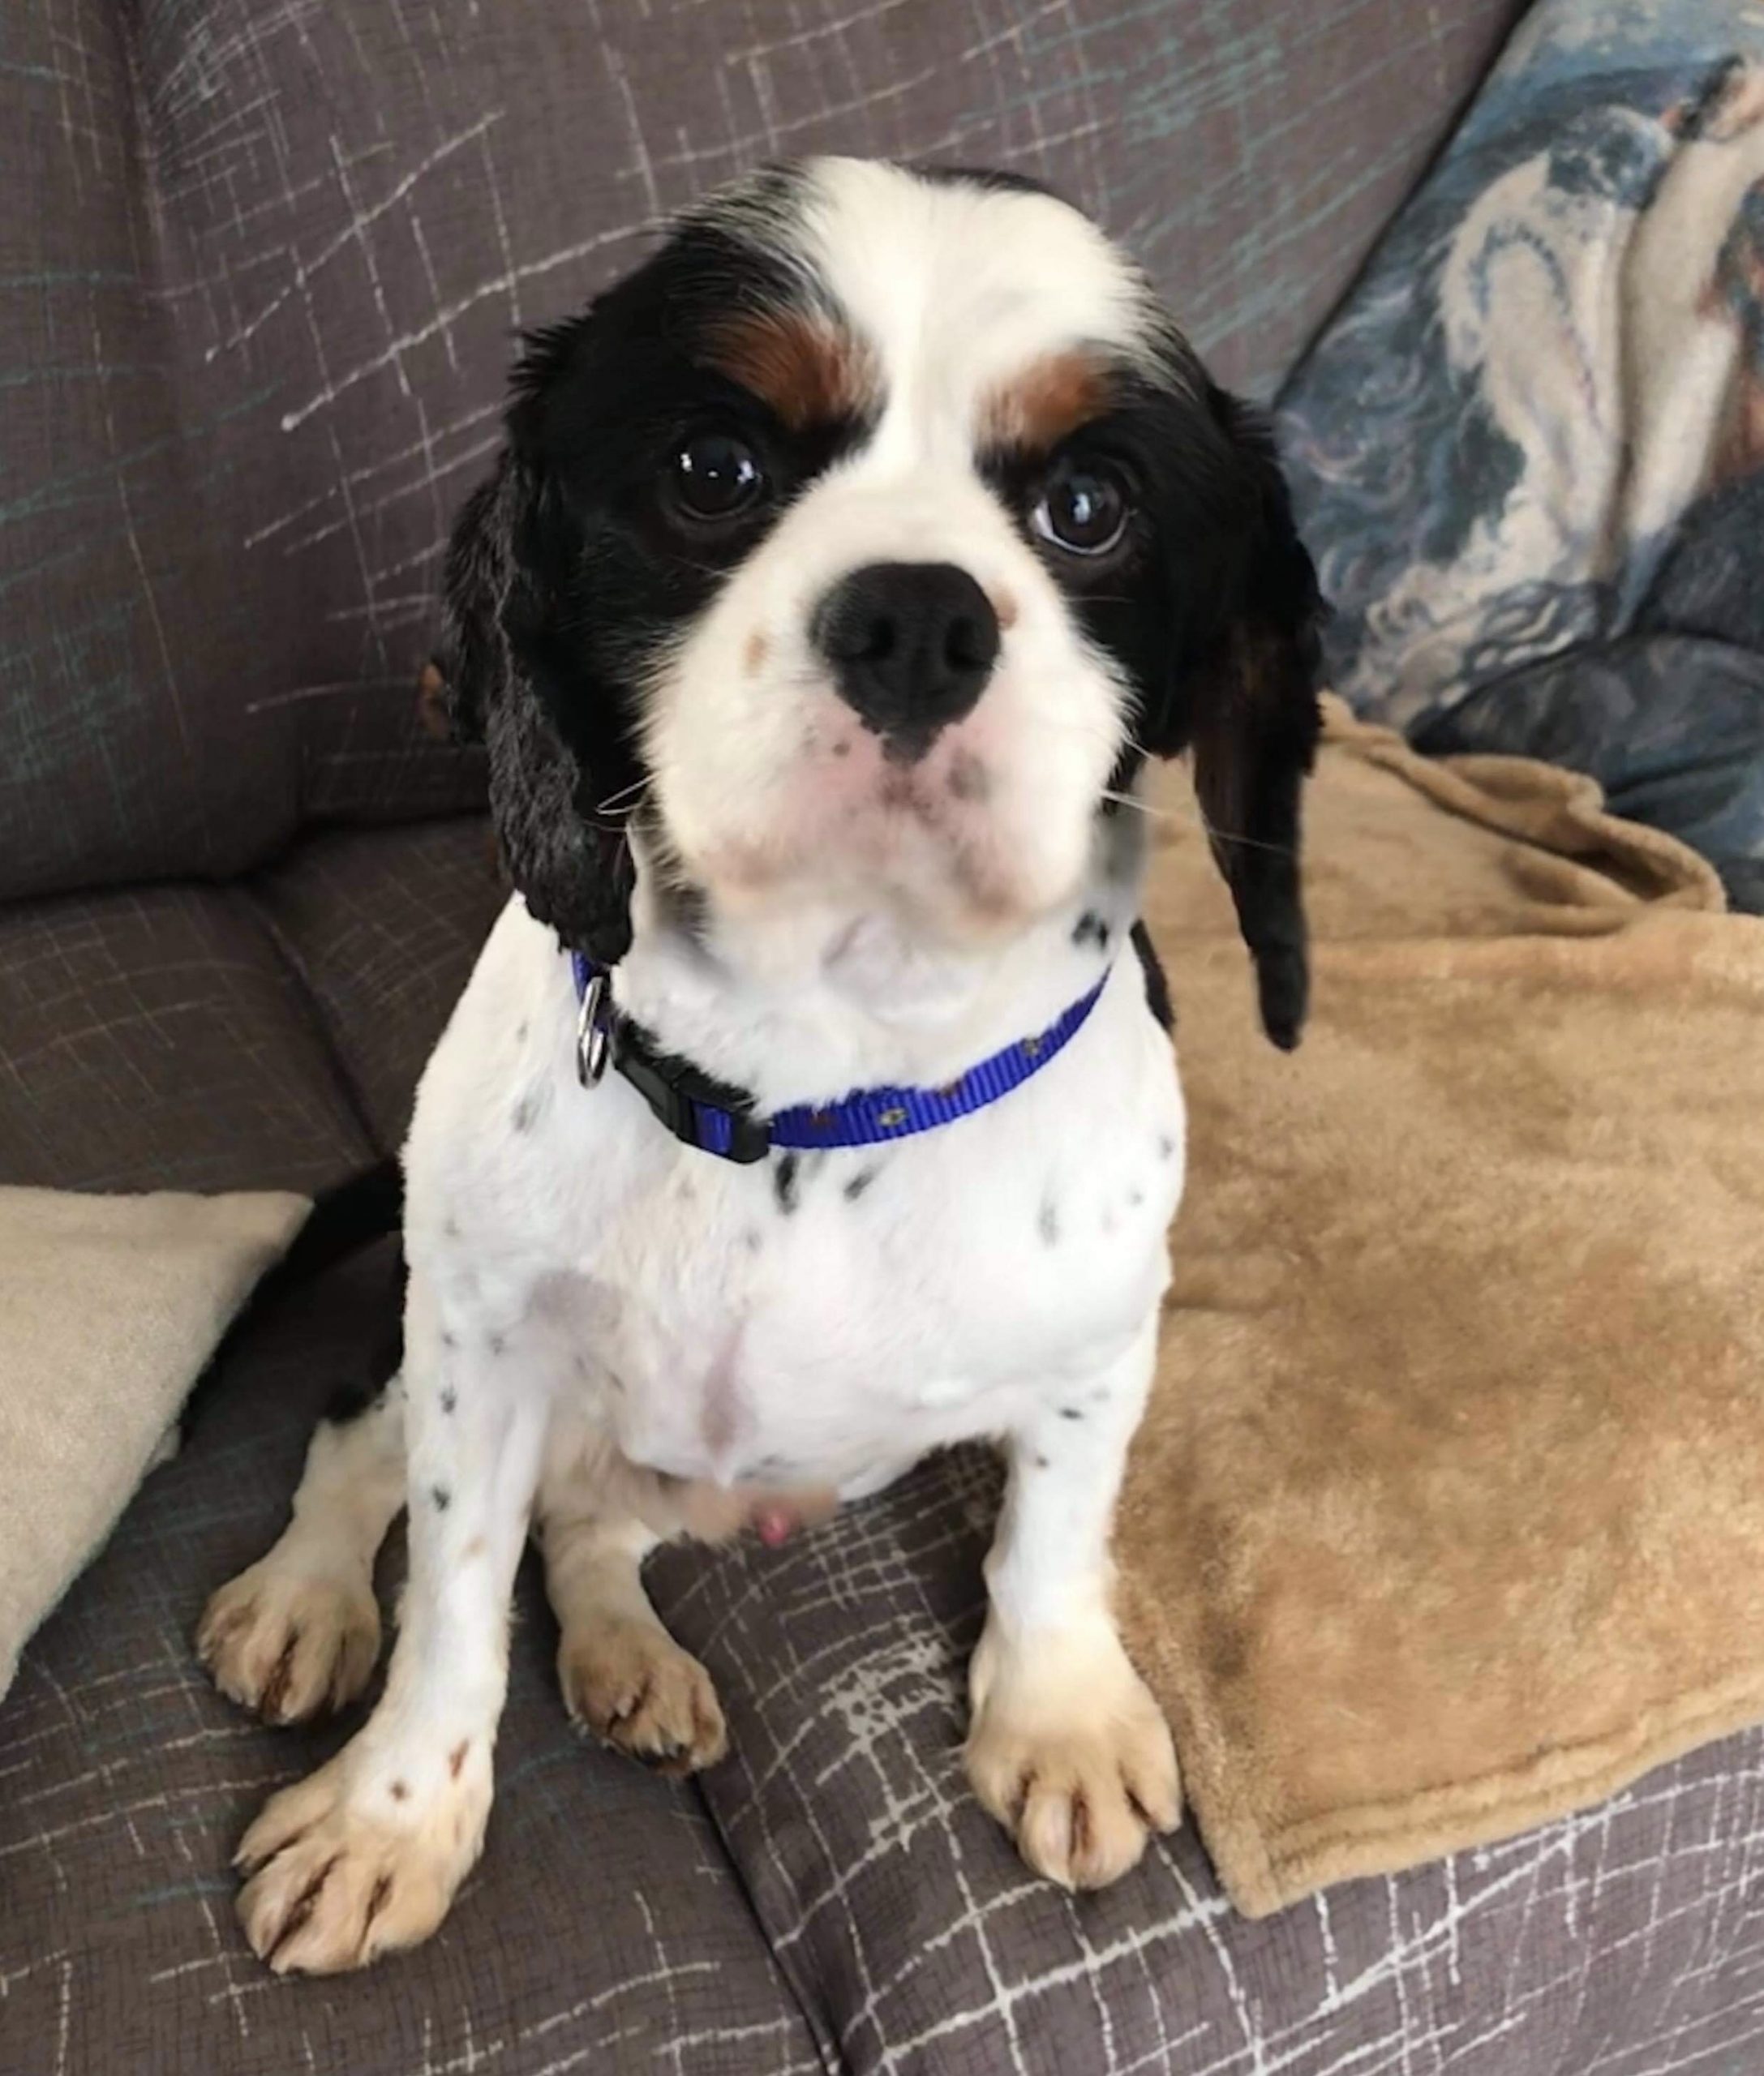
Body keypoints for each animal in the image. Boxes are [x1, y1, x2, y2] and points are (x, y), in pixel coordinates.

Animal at [195, 153, 1320, 1967]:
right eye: (710, 469)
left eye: (1091, 505)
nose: (918, 617)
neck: (820, 1078)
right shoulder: (481, 1344)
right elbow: (450, 1595)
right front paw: (392, 1818)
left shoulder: (1098, 1341)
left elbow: (1056, 1531)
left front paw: (1061, 1710)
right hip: (425, 1316)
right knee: (357, 1447)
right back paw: (302, 1600)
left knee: (593, 1533)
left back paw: (628, 1655)